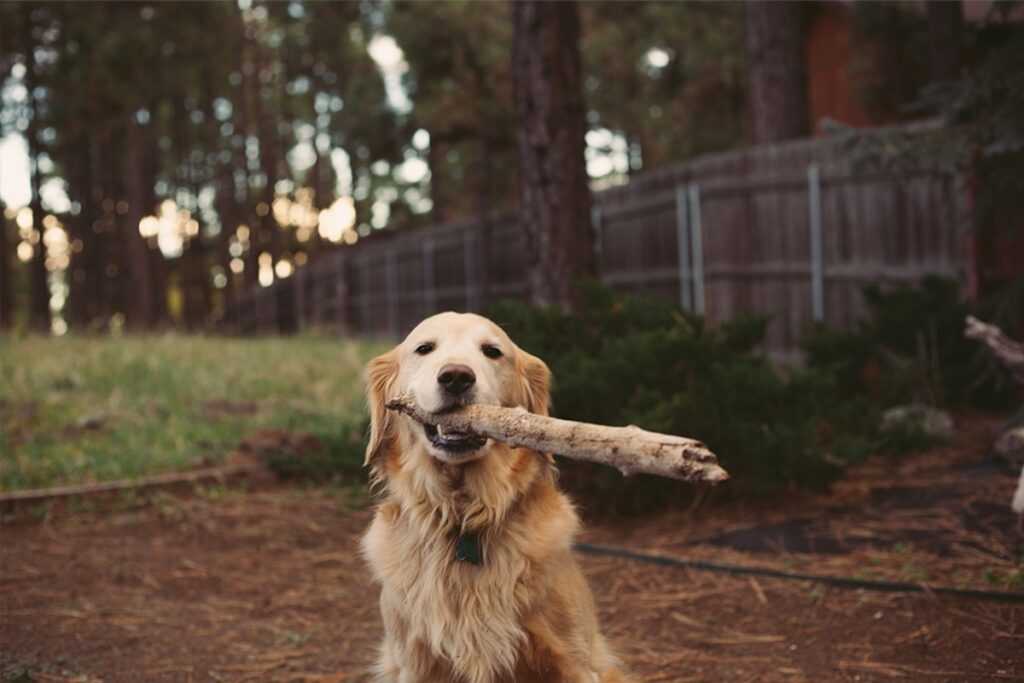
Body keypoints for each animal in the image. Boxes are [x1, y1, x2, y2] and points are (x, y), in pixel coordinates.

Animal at [360, 313, 630, 683]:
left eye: (492, 351)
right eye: (424, 348)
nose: (456, 377)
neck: (464, 516)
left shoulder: (573, 661)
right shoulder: (414, 663)